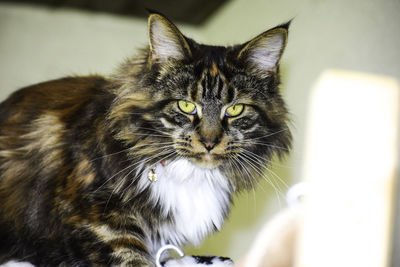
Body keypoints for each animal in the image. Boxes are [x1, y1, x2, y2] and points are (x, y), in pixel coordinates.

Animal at [0, 11, 290, 267]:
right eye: (186, 105)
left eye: (235, 109)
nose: (209, 142)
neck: (188, 173)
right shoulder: (97, 222)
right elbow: (131, 259)